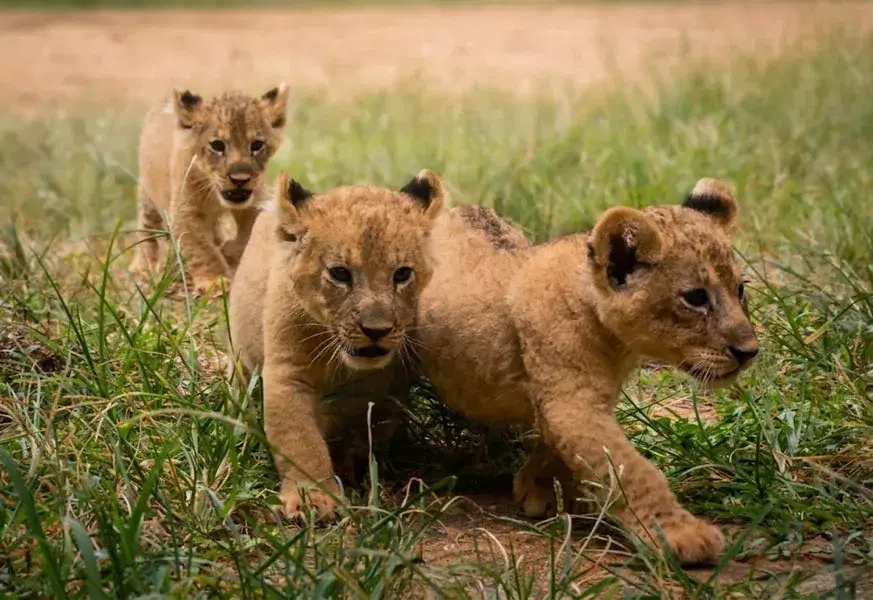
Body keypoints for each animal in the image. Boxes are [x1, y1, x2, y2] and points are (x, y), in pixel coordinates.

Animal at [133, 84, 288, 293]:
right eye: (217, 145)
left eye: (256, 145)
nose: (240, 179)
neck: (215, 195)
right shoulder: (186, 211)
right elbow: (202, 249)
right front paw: (216, 282)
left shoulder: (255, 202)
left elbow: (248, 235)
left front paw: (228, 253)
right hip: (148, 197)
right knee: (147, 228)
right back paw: (143, 267)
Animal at [229, 169, 444, 517]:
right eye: (340, 273)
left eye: (402, 274)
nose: (376, 330)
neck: (345, 366)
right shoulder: (289, 373)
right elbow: (300, 439)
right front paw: (312, 499)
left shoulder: (387, 388)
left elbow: (369, 430)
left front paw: (354, 466)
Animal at [413, 178, 759, 565]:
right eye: (696, 297)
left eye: (740, 289)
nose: (749, 352)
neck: (615, 341)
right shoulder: (573, 403)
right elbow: (631, 470)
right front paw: (681, 534)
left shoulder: (574, 401)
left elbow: (557, 444)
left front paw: (541, 489)